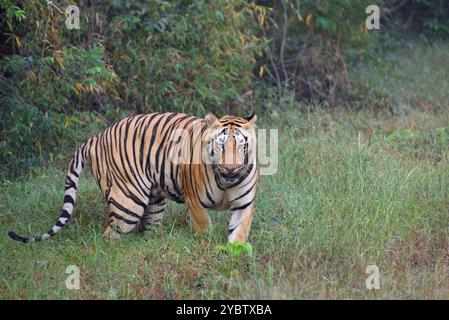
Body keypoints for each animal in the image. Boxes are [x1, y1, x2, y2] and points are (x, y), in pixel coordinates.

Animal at [8, 111, 258, 244]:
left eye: (242, 145)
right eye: (221, 145)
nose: (231, 169)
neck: (226, 182)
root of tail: (96, 137)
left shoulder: (244, 205)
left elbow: (238, 234)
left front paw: (232, 256)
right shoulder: (195, 202)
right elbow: (204, 229)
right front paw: (205, 247)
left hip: (154, 200)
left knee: (148, 229)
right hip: (127, 201)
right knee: (111, 235)